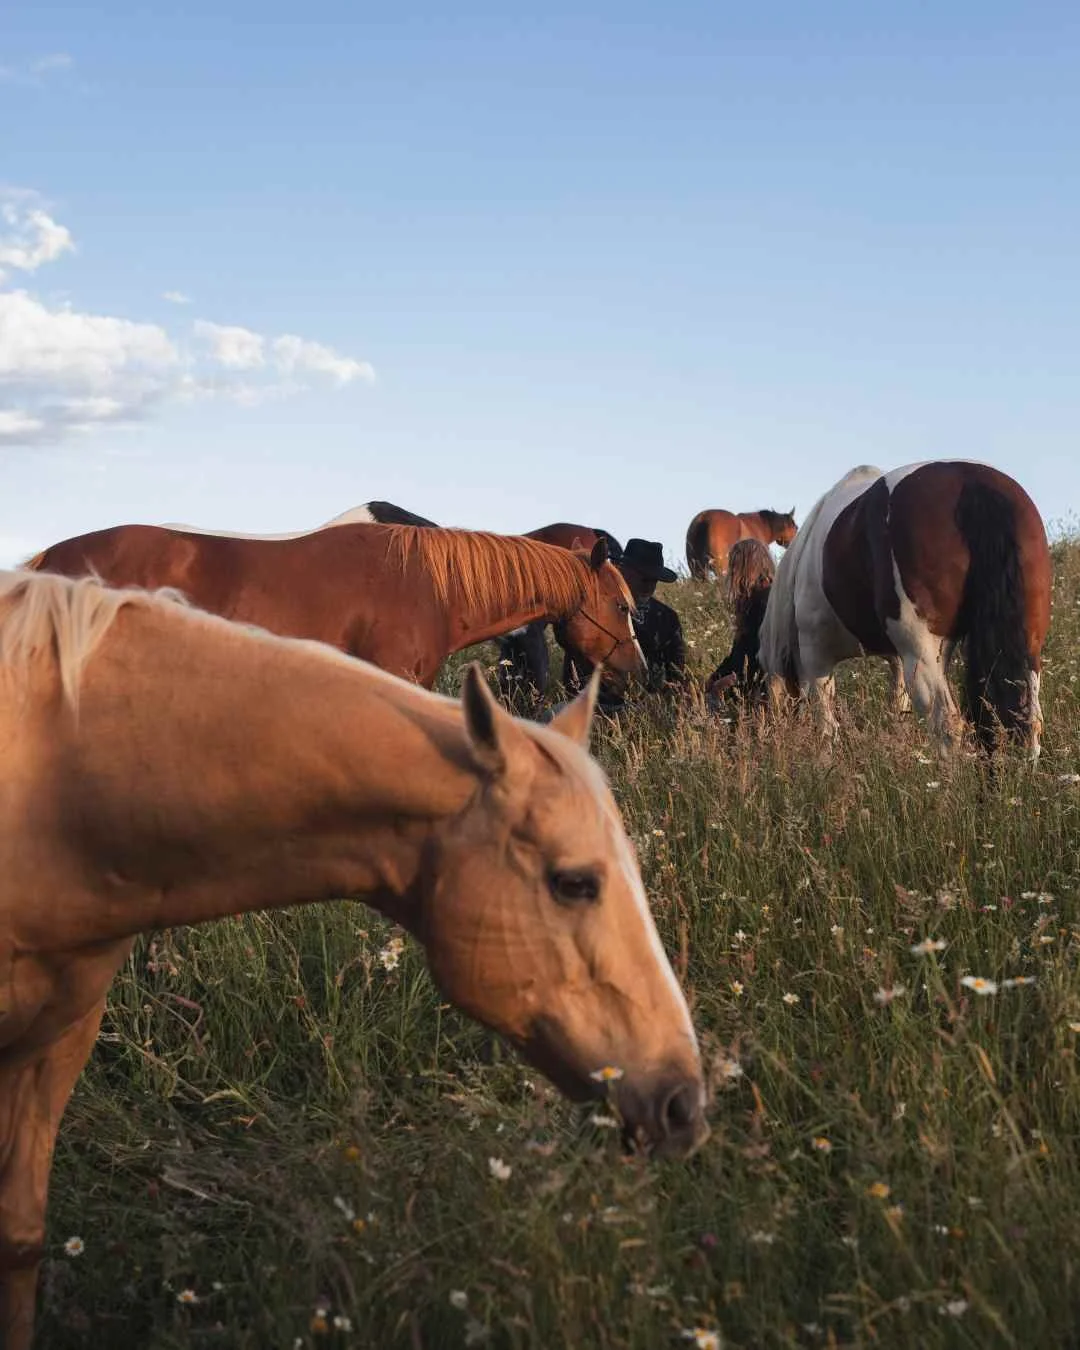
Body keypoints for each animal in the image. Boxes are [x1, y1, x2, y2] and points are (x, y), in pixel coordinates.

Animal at [752, 462, 1051, 751]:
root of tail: (972, 483)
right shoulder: (897, 658)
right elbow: (898, 708)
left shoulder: (816, 656)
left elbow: (826, 728)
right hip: (1025, 647)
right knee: (1029, 722)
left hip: (922, 654)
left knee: (947, 725)